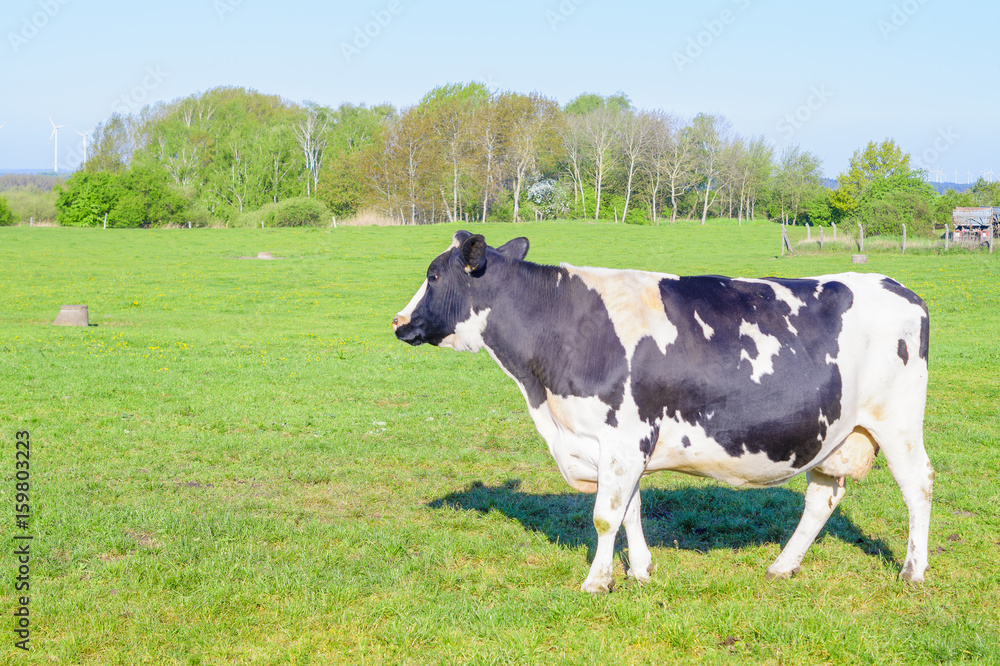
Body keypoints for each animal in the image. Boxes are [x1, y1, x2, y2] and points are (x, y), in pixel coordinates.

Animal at [388, 232, 928, 592]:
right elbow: (630, 508)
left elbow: (605, 515)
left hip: (899, 424)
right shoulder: (616, 447)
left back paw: (913, 571)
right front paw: (640, 570)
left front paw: (597, 581)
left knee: (918, 487)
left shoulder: (624, 438)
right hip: (832, 433)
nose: (397, 321)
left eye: (433, 275)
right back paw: (782, 565)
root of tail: (898, 286)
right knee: (822, 499)